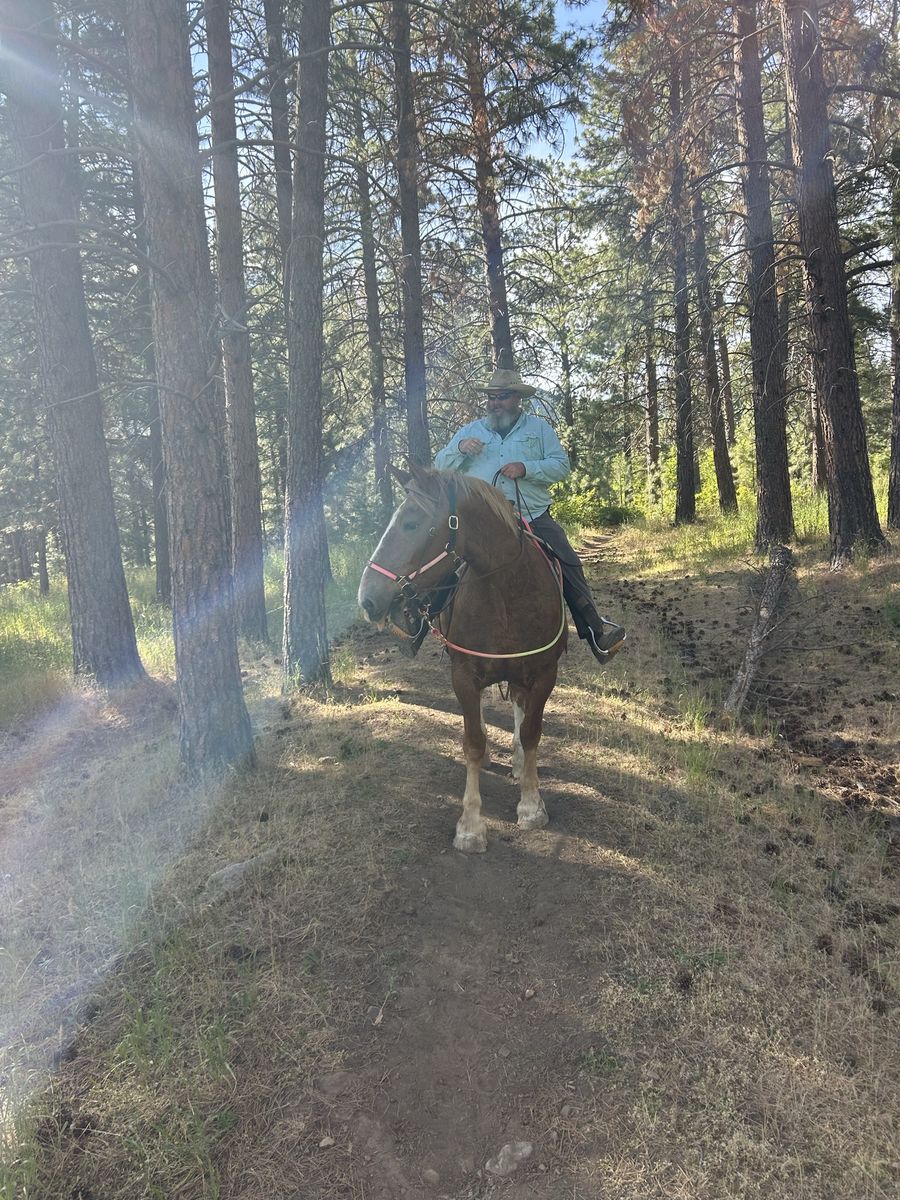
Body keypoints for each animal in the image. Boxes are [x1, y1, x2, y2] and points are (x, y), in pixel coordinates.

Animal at [357, 463, 566, 853]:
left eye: (411, 523)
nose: (368, 598)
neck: (507, 590)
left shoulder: (545, 673)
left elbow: (531, 732)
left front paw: (531, 805)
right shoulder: (465, 675)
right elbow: (472, 742)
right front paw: (470, 826)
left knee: (519, 706)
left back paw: (519, 762)